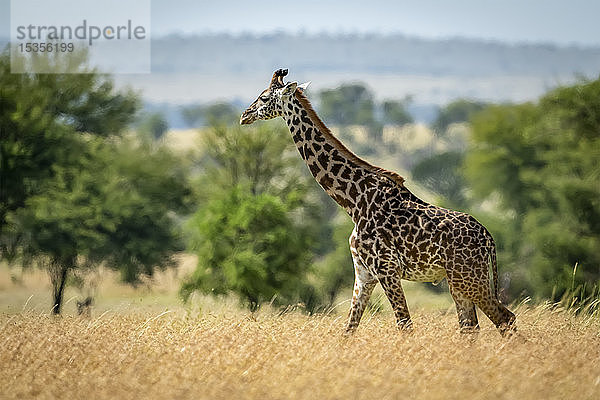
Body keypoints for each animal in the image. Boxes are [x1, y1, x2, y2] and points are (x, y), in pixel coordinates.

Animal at [239, 69, 516, 334]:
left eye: (264, 97)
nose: (244, 115)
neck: (352, 202)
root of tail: (489, 238)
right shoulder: (364, 274)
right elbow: (348, 330)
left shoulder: (387, 270)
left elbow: (405, 325)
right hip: (459, 282)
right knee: (471, 327)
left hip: (468, 278)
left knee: (505, 318)